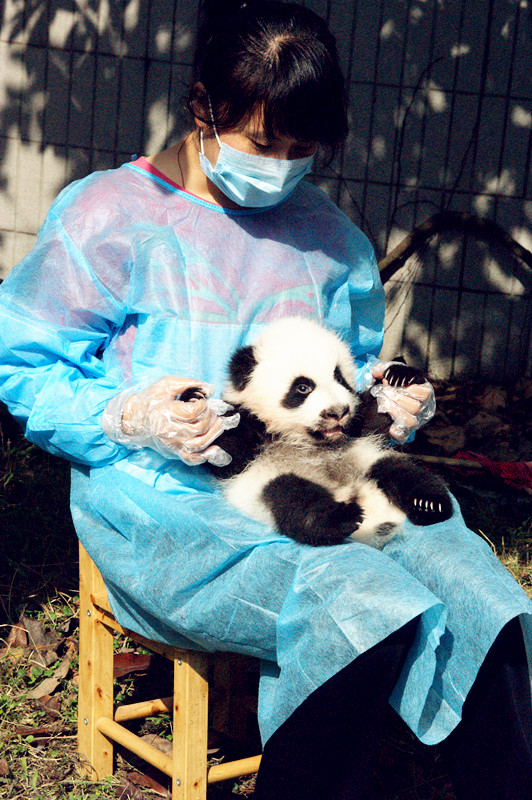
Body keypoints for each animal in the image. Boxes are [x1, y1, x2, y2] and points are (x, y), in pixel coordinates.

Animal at [205, 317, 453, 547]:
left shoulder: (355, 430)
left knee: (402, 471)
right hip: (268, 476)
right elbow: (231, 453)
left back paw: (430, 504)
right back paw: (341, 518)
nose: (338, 412)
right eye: (303, 387)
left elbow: (372, 415)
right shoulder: (252, 442)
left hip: (366, 457)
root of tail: (351, 492)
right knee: (292, 497)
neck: (307, 440)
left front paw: (401, 377)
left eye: (339, 378)